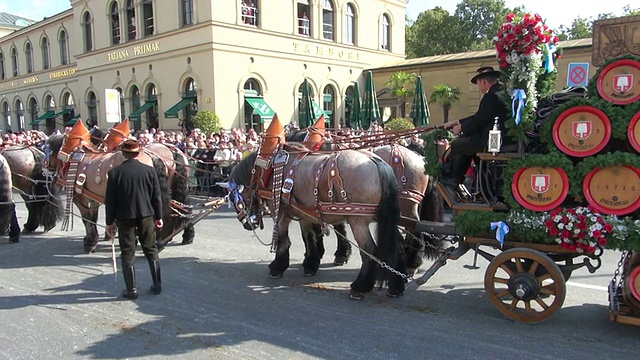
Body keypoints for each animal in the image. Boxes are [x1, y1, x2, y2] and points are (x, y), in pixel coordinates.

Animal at [44, 133, 194, 253]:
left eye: (45, 149)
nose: (45, 168)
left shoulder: (83, 200)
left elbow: (88, 221)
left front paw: (90, 243)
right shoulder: (96, 199)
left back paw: (159, 241)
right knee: (182, 209)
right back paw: (180, 236)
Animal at [222, 148, 408, 300]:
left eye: (234, 197)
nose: (246, 224)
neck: (270, 169)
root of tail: (378, 162)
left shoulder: (279, 212)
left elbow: (283, 240)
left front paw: (277, 267)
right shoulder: (305, 213)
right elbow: (308, 237)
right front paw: (310, 264)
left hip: (358, 221)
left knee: (369, 250)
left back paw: (360, 287)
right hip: (384, 219)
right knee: (398, 245)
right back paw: (396, 286)